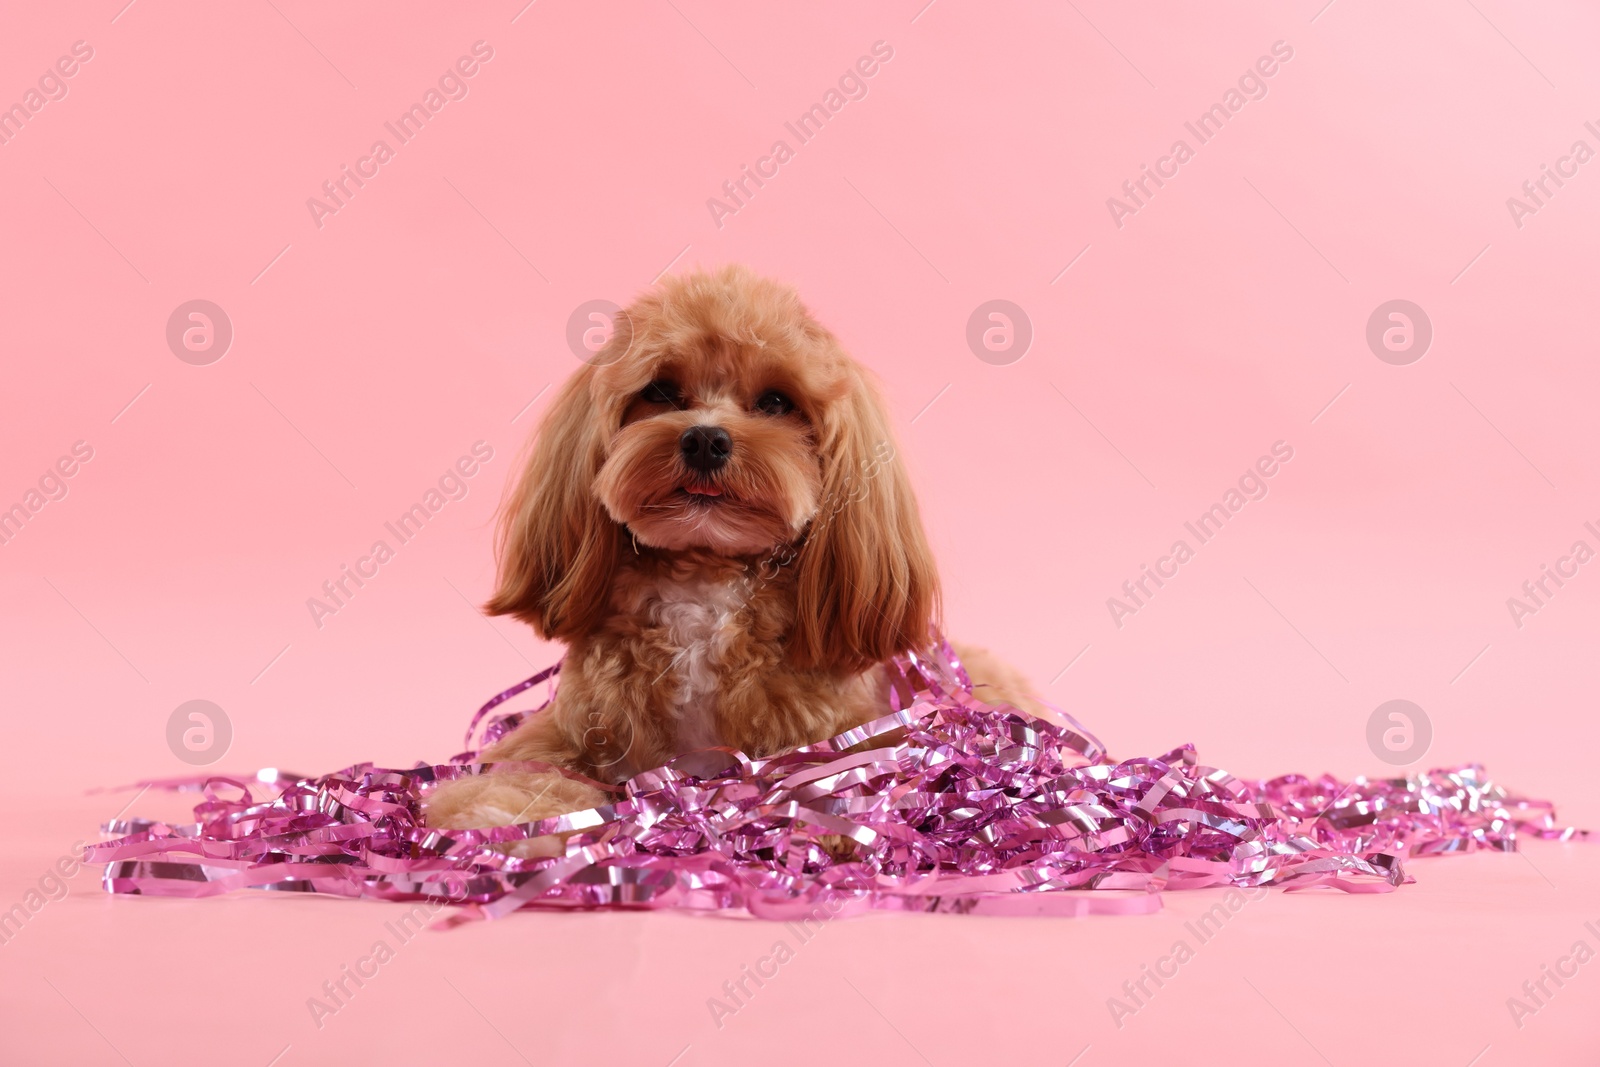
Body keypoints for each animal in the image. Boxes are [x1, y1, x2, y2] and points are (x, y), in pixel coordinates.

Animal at [422, 267, 1036, 844]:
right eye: (661, 391)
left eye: (776, 402)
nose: (704, 439)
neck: (704, 579)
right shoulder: (568, 729)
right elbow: (519, 776)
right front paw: (502, 816)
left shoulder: (852, 727)